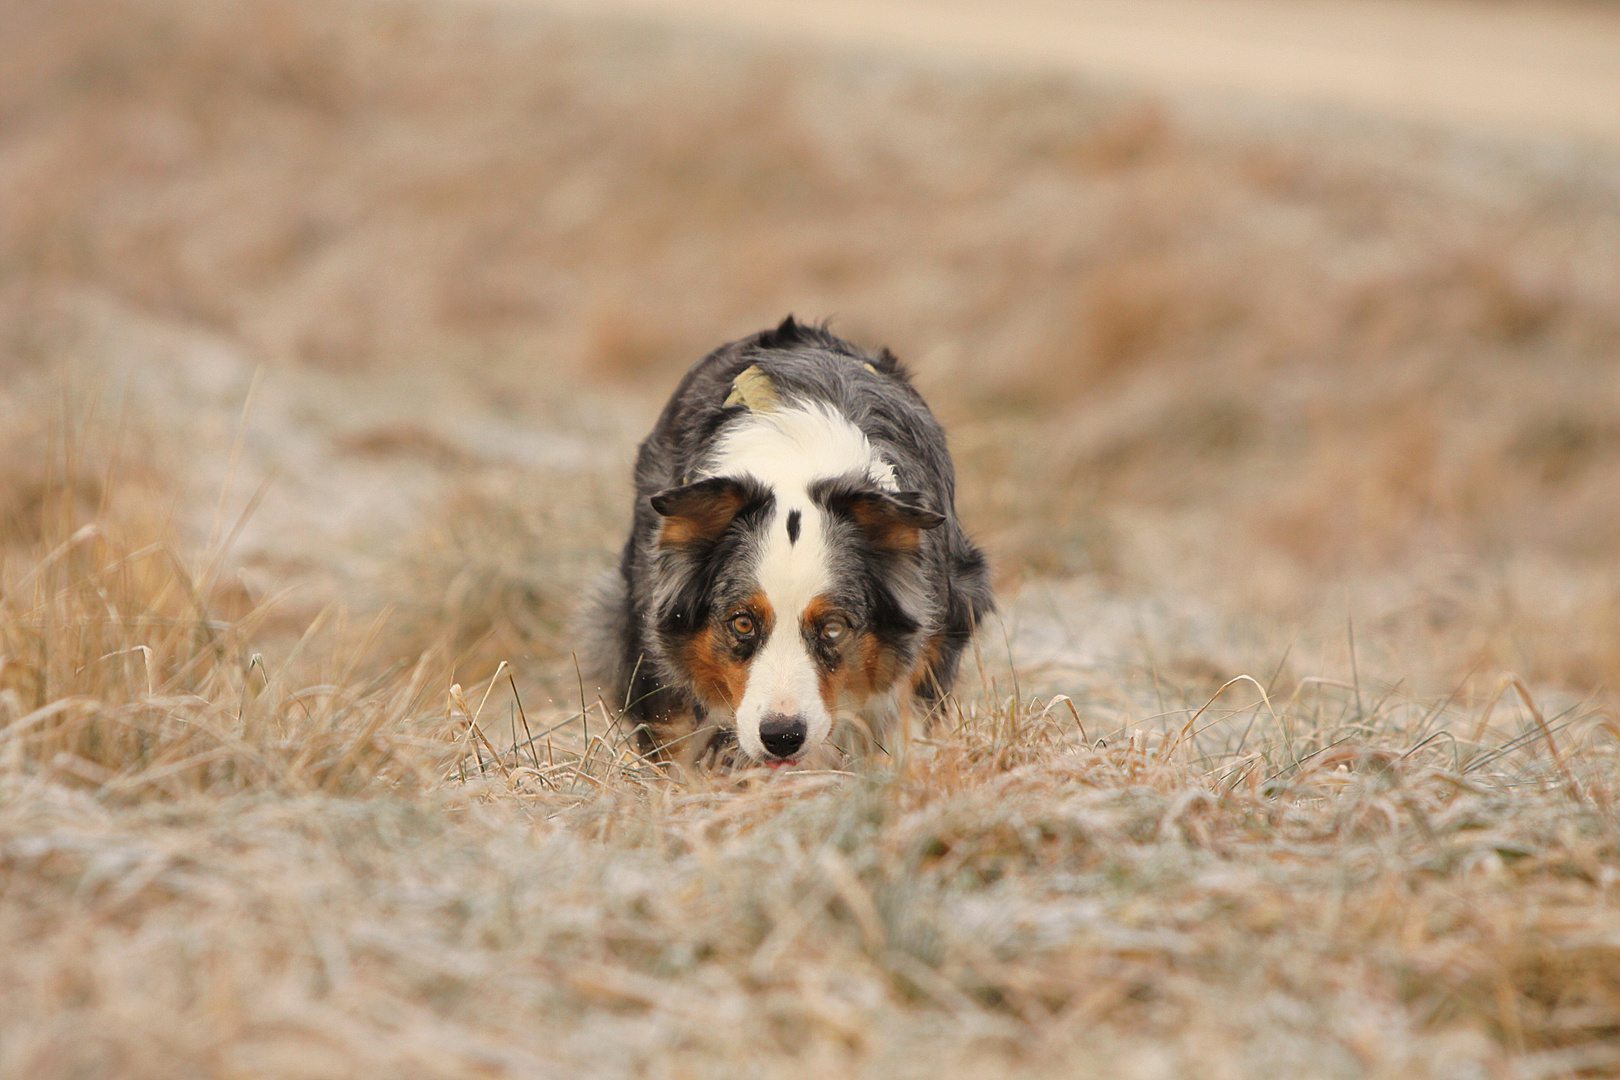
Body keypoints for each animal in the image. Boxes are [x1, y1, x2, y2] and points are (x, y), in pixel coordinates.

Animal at [583, 317, 984, 773]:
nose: (782, 737)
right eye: (742, 623)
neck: (797, 466)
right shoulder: (656, 650)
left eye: (833, 627)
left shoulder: (939, 624)